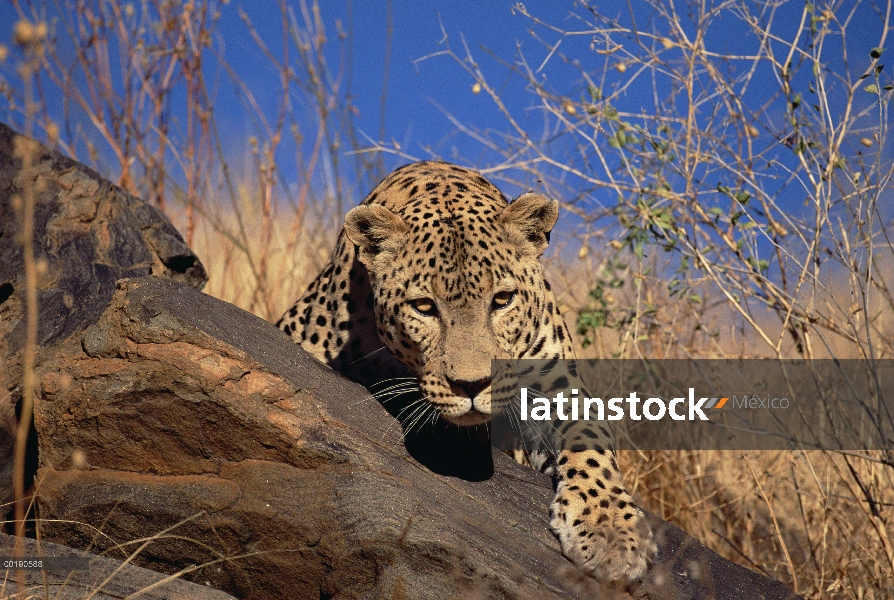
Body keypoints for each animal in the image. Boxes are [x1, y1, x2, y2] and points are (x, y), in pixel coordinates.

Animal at [278, 162, 656, 584]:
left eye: (503, 299)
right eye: (424, 306)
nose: (472, 385)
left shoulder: (557, 385)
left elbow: (590, 440)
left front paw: (612, 533)